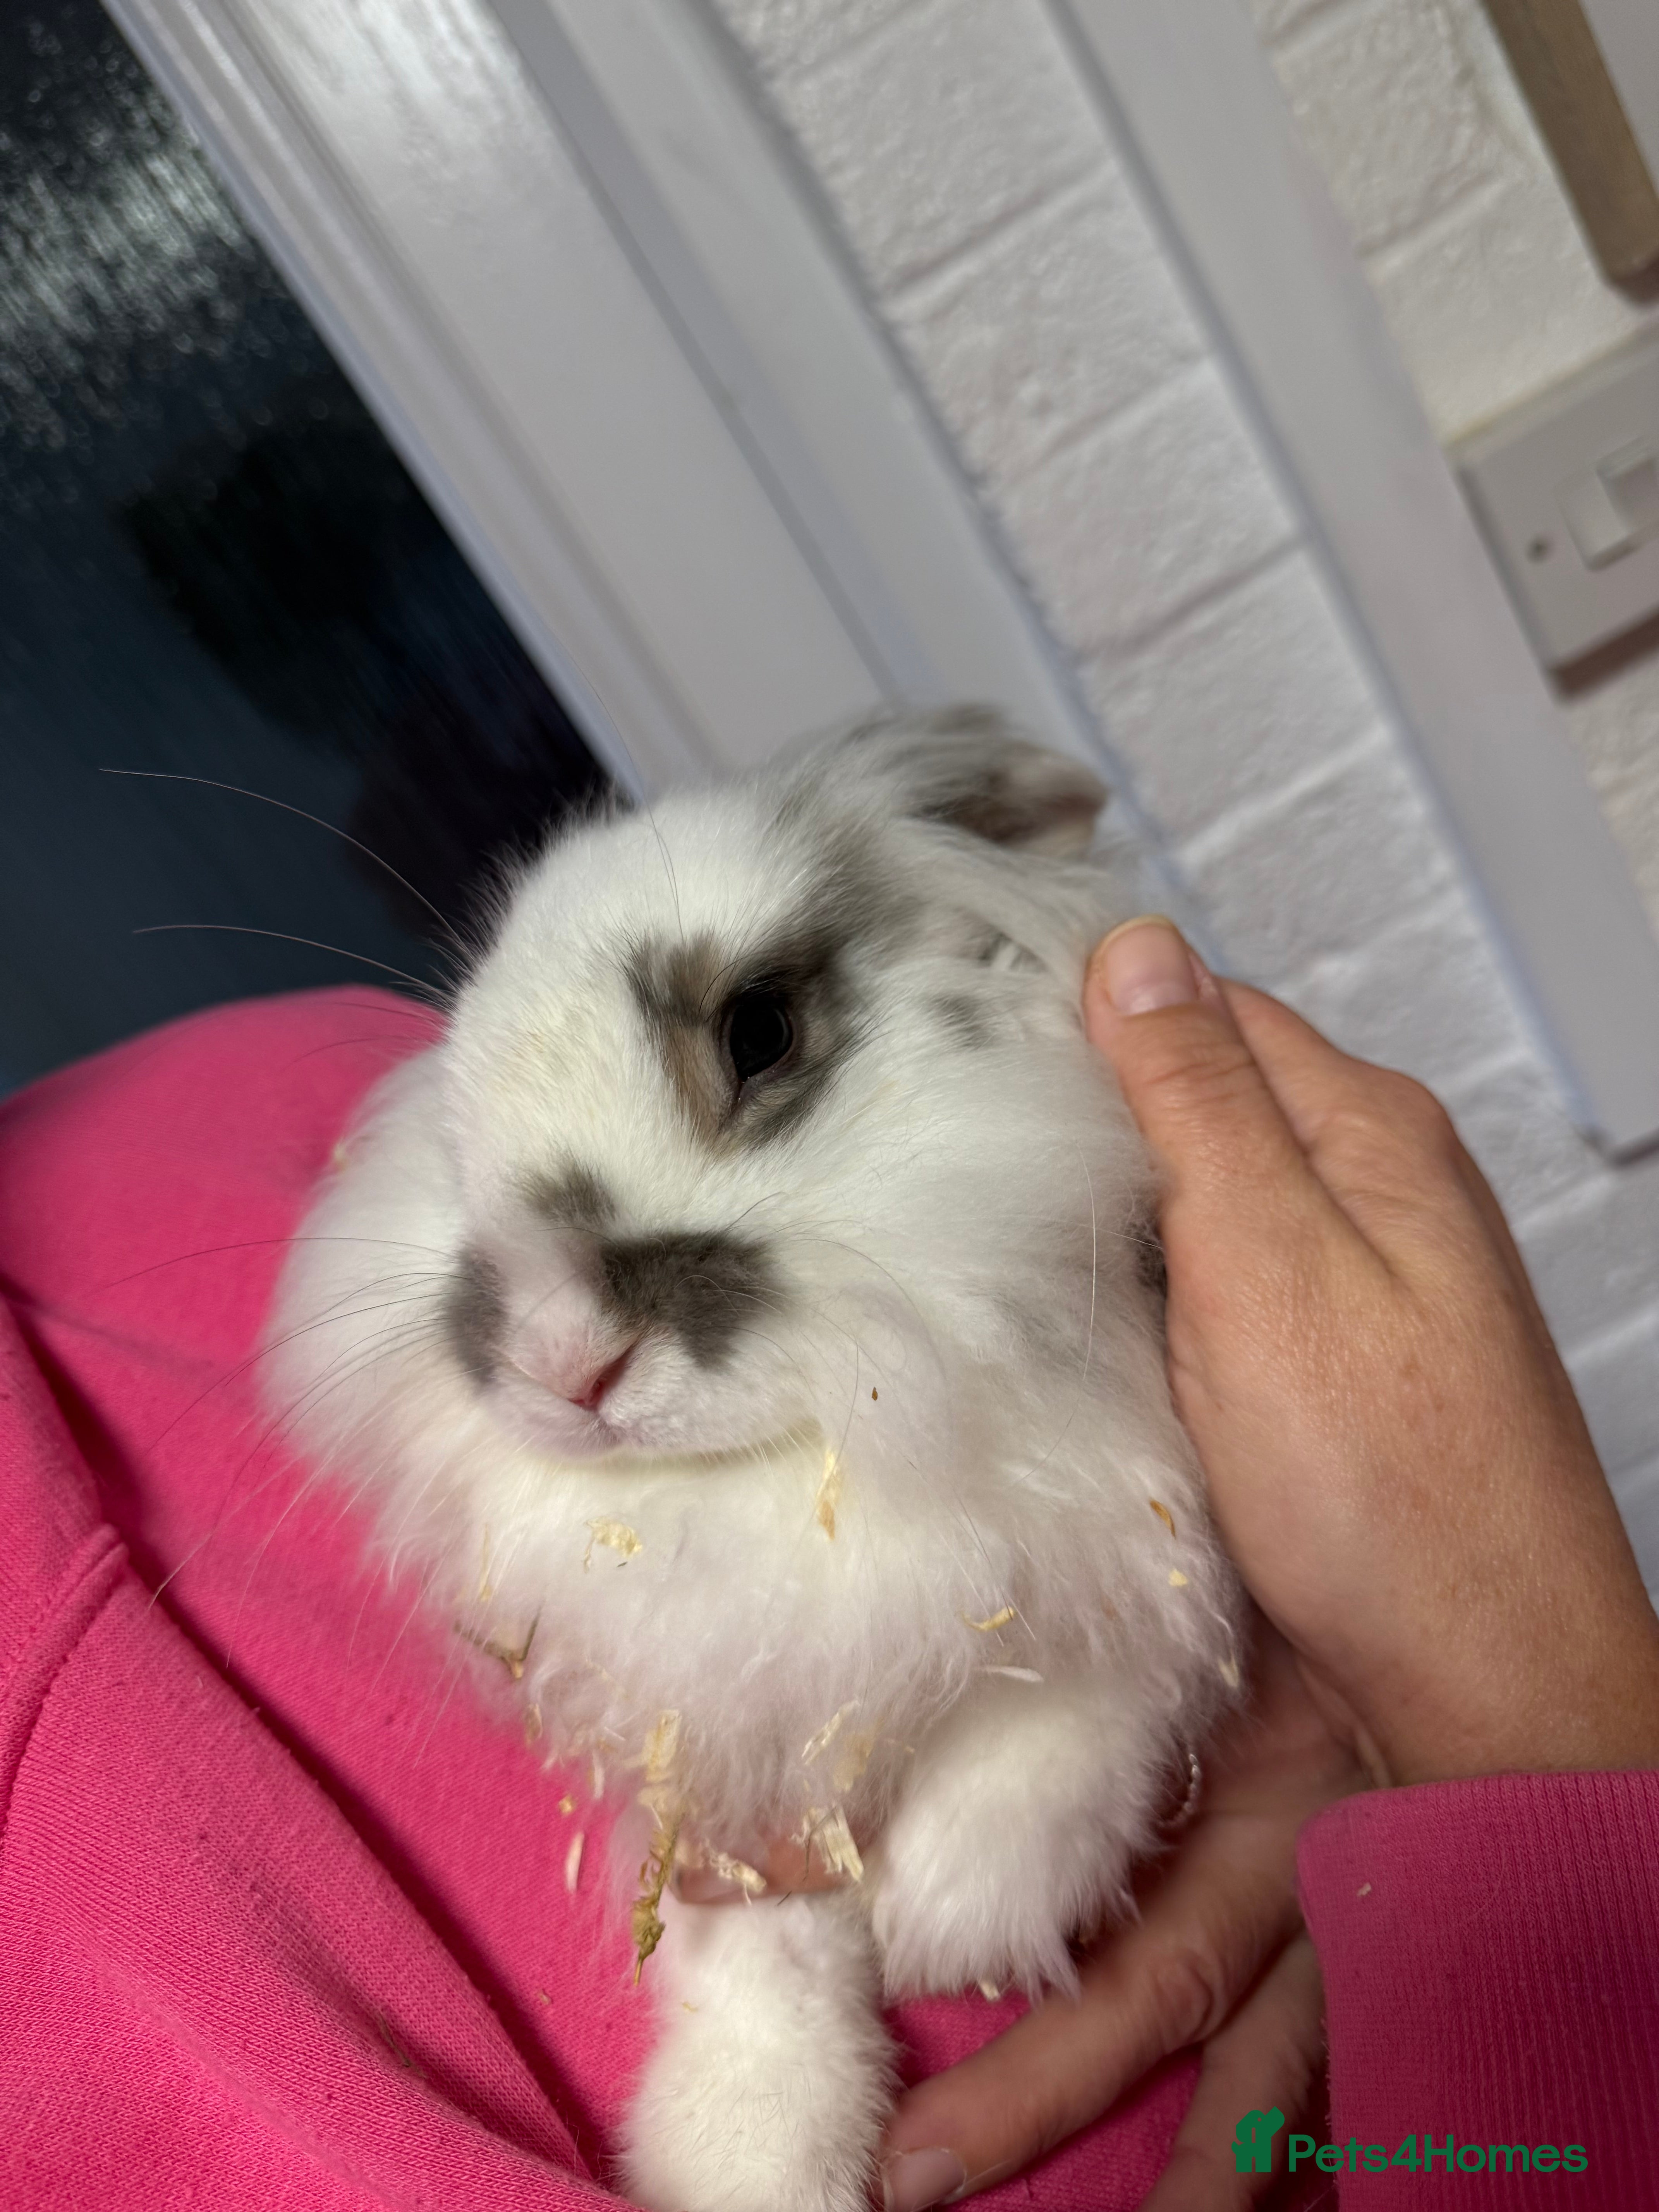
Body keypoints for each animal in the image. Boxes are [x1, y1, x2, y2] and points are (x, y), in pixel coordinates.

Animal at [264, 707, 1242, 2212]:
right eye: (454, 1131)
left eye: (760, 1029)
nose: (564, 1360)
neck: (789, 1462)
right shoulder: (727, 1759)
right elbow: (762, 1963)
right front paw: (752, 2154)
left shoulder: (1135, 1539)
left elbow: (1076, 1720)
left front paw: (950, 1919)